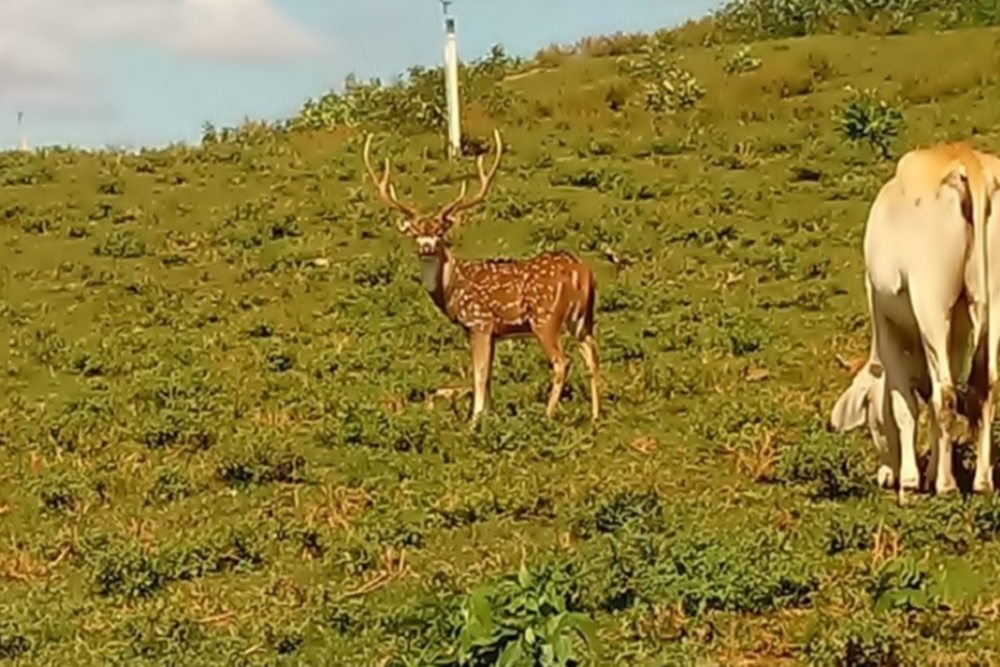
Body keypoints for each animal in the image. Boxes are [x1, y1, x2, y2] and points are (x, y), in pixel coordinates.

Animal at [366, 129, 600, 422]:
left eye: (440, 231)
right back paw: (595, 416)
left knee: (561, 361)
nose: (427, 247)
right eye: (416, 233)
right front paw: (487, 415)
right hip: (583, 319)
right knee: (592, 356)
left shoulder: (478, 322)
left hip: (545, 318)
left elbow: (478, 375)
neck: (451, 288)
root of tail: (582, 273)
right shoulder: (494, 332)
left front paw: (474, 420)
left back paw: (547, 415)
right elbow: (487, 376)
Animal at [828, 144, 1000, 504]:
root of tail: (965, 159)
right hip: (990, 304)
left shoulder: (886, 323)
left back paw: (947, 486)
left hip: (929, 302)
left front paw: (911, 481)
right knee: (985, 385)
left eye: (871, 421)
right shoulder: (956, 332)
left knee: (945, 393)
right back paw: (981, 482)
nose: (884, 474)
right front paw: (932, 472)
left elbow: (905, 405)